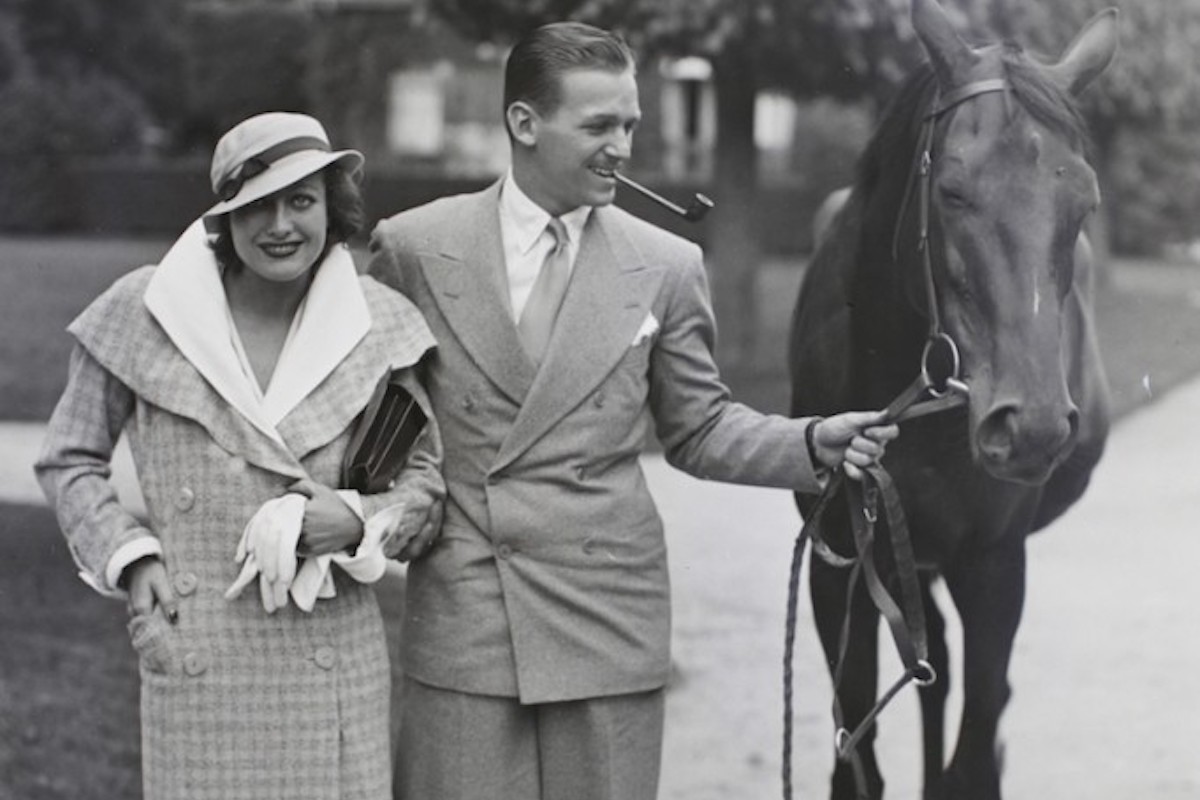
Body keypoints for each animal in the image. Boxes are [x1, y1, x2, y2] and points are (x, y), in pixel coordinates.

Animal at [792, 1, 1118, 800]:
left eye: (1085, 200)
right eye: (953, 191)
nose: (1031, 427)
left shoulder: (995, 567)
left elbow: (973, 751)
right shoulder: (837, 563)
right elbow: (857, 754)